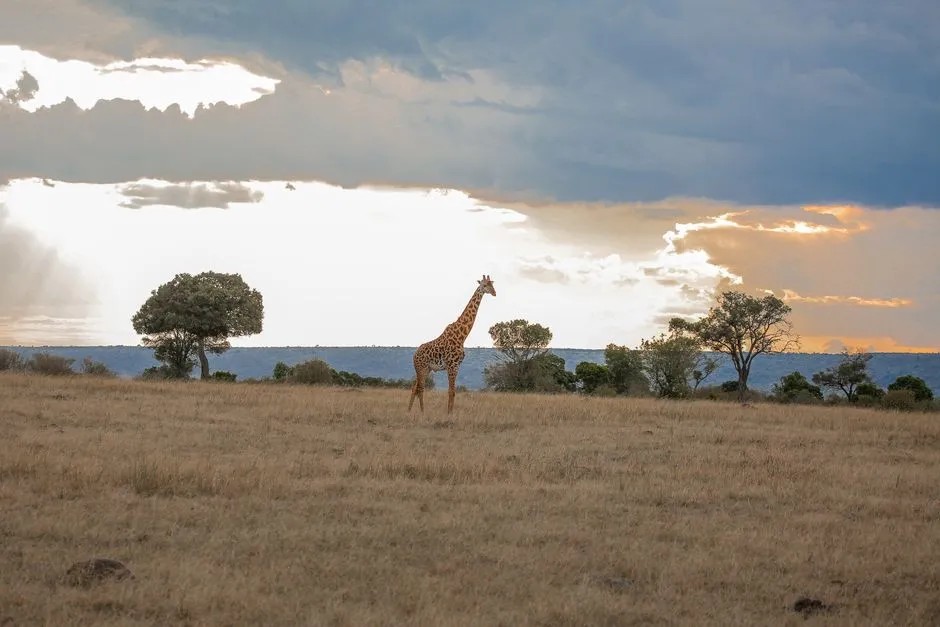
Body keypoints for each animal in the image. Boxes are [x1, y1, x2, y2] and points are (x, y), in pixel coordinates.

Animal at [408, 275, 496, 414]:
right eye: (484, 285)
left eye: (492, 284)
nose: (494, 293)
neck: (462, 336)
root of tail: (414, 354)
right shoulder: (451, 366)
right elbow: (451, 392)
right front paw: (449, 414)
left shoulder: (456, 366)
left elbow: (453, 392)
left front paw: (450, 412)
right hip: (421, 368)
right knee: (420, 389)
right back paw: (422, 412)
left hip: (426, 369)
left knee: (414, 387)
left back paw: (409, 411)